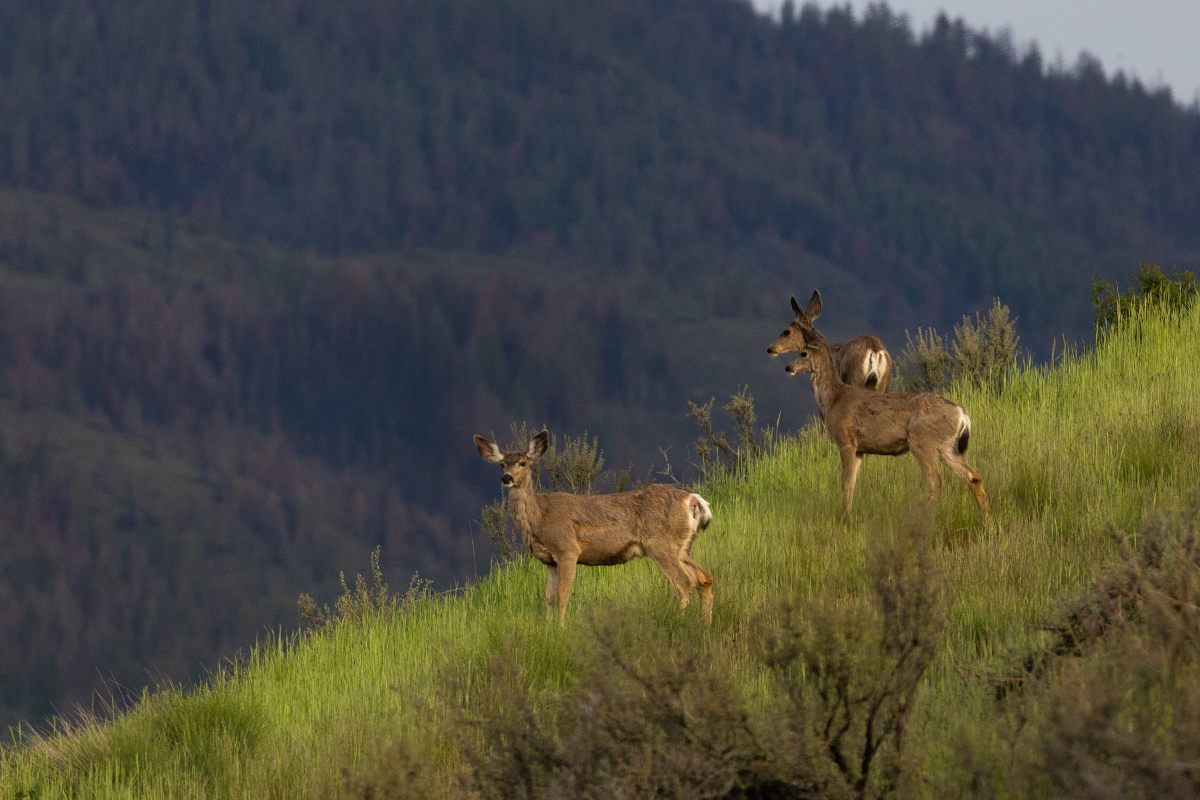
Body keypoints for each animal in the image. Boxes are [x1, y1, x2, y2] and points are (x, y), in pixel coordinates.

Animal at [470, 431, 715, 623]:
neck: (539, 518)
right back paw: (704, 625)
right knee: (704, 578)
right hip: (682, 546)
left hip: (660, 544)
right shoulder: (549, 561)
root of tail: (692, 499)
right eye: (502, 464)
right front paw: (548, 629)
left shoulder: (567, 549)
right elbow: (548, 598)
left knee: (685, 583)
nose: (506, 478)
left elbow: (562, 596)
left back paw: (677, 620)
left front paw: (560, 630)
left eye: (523, 463)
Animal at [772, 291, 988, 527]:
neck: (834, 398)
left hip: (923, 443)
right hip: (949, 448)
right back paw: (987, 525)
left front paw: (846, 521)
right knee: (974, 477)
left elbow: (844, 484)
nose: (787, 367)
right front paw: (849, 516)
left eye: (803, 353)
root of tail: (962, 415)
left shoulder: (846, 441)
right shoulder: (860, 449)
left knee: (937, 483)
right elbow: (852, 485)